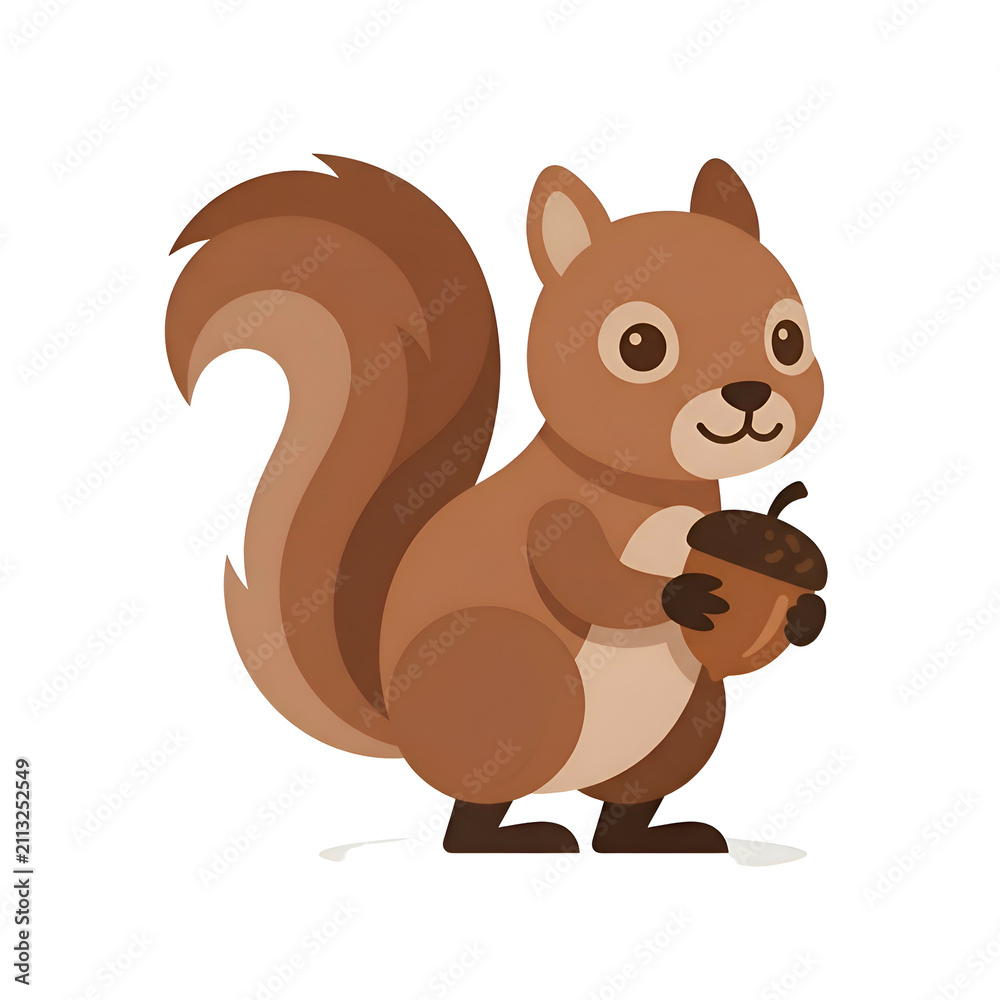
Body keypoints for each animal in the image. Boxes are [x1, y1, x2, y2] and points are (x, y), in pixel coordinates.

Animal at [166, 155, 826, 854]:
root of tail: (405, 733)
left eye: (788, 337)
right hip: (515, 675)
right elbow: (585, 577)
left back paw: (654, 838)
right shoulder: (550, 515)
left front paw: (803, 616)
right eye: (640, 345)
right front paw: (684, 594)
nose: (749, 393)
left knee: (619, 813)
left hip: (690, 719)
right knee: (468, 820)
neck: (658, 490)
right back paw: (516, 837)